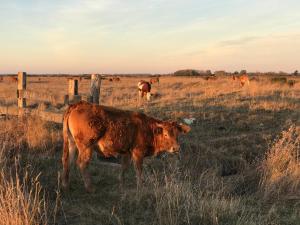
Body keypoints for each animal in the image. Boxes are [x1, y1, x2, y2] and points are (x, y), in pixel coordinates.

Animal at [61, 101, 191, 192]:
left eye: (177, 134)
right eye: (165, 134)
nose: (176, 148)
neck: (148, 129)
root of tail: (77, 104)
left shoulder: (127, 152)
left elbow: (124, 168)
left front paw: (121, 184)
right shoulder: (138, 153)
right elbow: (138, 170)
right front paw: (140, 186)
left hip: (72, 143)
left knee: (68, 161)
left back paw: (66, 185)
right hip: (86, 146)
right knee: (82, 163)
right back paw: (90, 188)